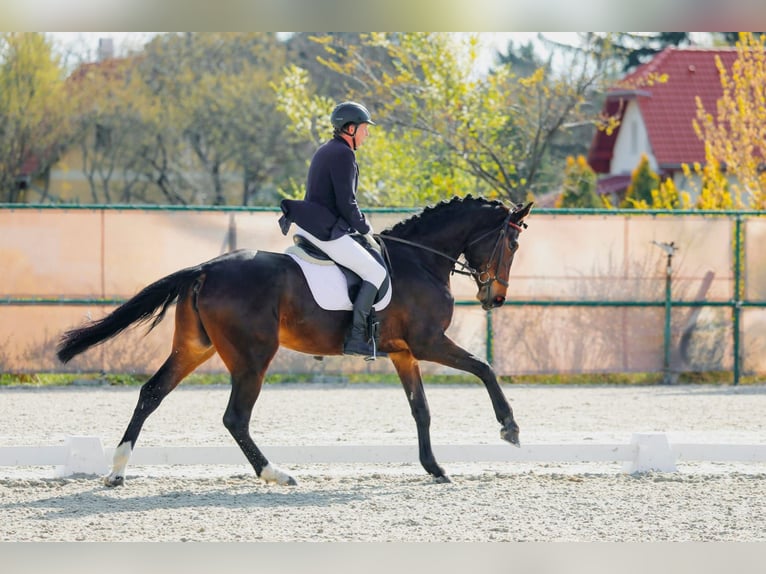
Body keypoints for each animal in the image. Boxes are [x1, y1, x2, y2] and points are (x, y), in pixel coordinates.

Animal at [57, 197, 536, 486]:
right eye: (512, 242)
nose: (495, 299)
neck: (419, 258)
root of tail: (205, 268)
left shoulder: (403, 353)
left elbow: (421, 410)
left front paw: (435, 468)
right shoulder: (428, 342)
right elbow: (484, 368)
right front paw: (509, 428)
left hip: (194, 348)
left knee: (151, 393)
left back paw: (117, 471)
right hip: (253, 356)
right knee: (235, 417)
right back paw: (276, 474)